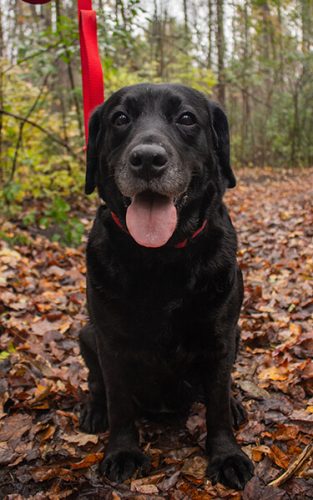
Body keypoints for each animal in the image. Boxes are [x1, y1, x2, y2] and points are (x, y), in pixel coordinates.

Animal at [78, 84, 254, 490]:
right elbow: (119, 402)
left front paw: (226, 455)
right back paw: (94, 410)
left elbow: (217, 405)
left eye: (186, 118)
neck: (160, 259)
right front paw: (122, 451)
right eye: (120, 118)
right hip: (86, 334)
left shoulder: (220, 337)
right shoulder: (110, 342)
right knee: (96, 383)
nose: (146, 159)